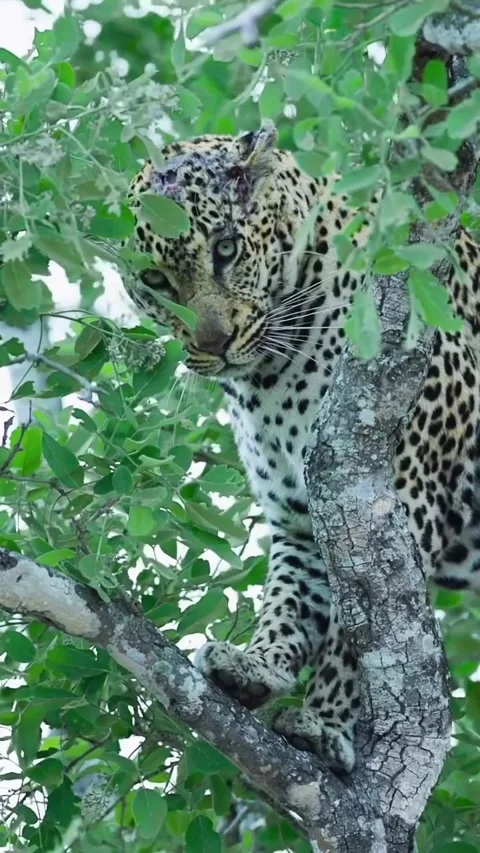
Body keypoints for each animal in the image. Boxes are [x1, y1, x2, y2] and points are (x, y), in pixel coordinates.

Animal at [125, 120, 480, 775]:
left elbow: (365, 631)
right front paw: (257, 665)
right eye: (156, 280)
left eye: (227, 249)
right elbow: (289, 603)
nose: (214, 343)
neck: (268, 375)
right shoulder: (303, 515)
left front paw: (325, 723)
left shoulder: (401, 496)